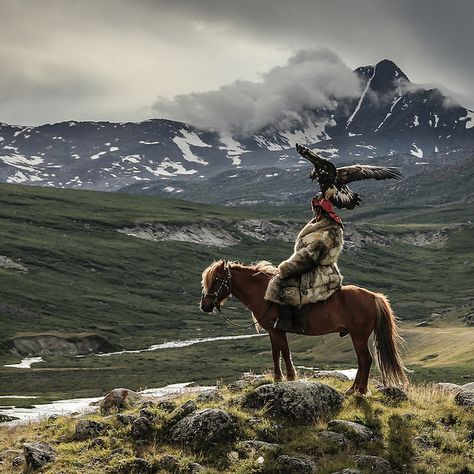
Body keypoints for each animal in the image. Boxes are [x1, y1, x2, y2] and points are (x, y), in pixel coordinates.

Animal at [200, 258, 408, 394]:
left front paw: (286, 377)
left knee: (365, 359)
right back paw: (352, 389)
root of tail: (374, 297)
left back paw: (361, 391)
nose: (205, 306)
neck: (264, 293)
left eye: (216, 280)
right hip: (356, 336)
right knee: (361, 361)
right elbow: (279, 353)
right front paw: (281, 378)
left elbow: (282, 353)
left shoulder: (276, 330)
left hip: (359, 335)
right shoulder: (276, 331)